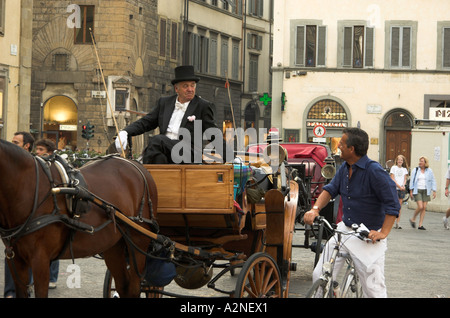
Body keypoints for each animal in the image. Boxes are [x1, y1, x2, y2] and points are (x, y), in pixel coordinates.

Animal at [0, 140, 158, 296]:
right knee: (123, 285)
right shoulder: (15, 259)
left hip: (138, 243)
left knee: (134, 287)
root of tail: (137, 165)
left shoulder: (40, 260)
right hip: (113, 245)